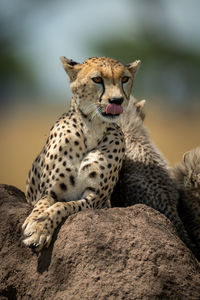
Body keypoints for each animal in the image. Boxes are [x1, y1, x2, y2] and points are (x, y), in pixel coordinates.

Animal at [21, 55, 141, 250]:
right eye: (97, 79)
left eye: (125, 79)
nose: (117, 101)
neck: (92, 128)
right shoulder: (49, 191)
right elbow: (42, 204)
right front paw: (33, 220)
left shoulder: (95, 199)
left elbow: (64, 206)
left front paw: (39, 229)